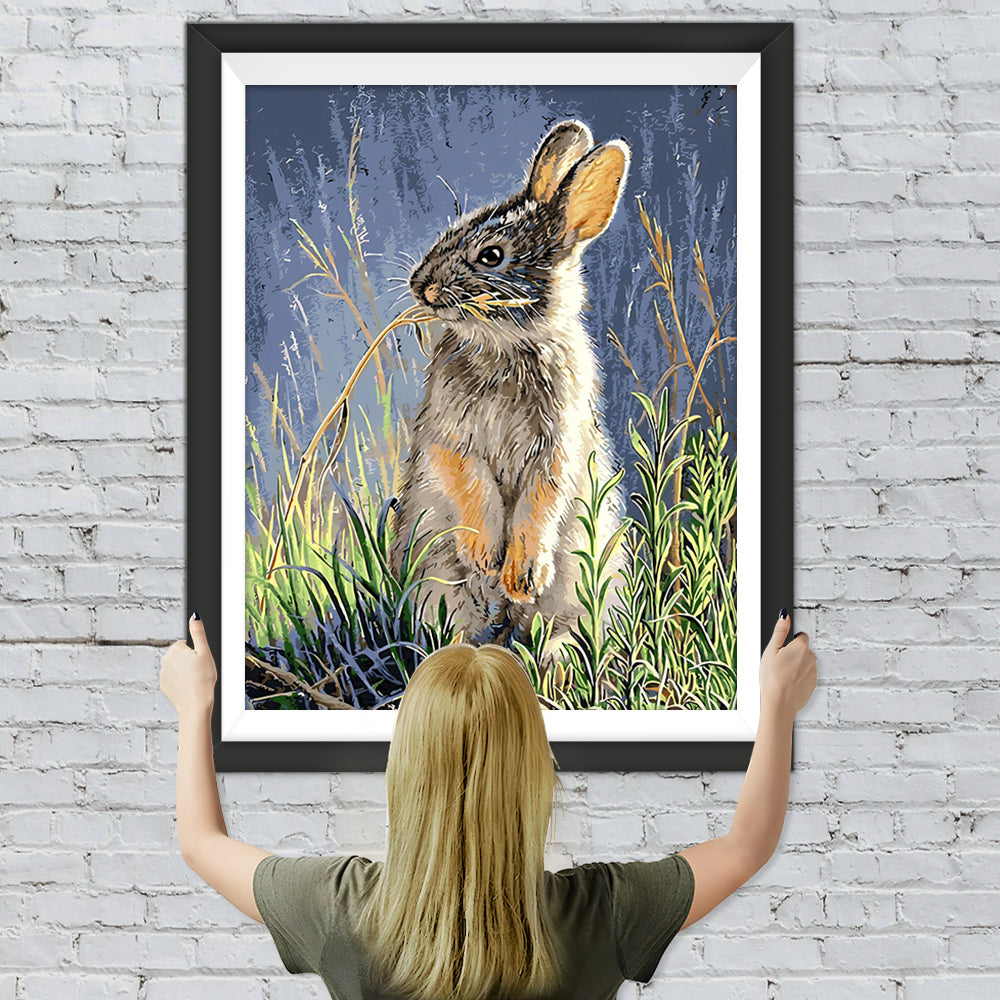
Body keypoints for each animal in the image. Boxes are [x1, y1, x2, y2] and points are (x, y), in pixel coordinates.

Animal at [393, 119, 629, 656]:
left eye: (492, 256)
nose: (421, 286)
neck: (507, 348)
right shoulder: (450, 435)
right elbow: (471, 483)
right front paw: (485, 557)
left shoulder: (558, 444)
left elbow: (540, 503)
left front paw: (520, 575)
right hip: (435, 589)